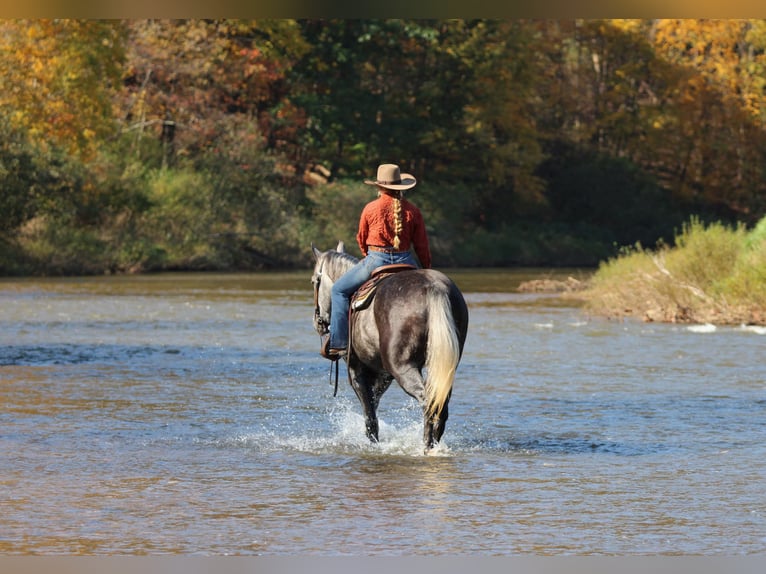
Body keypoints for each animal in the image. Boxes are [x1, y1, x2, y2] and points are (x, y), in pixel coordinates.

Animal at [311, 241, 469, 452]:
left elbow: (370, 415)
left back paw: (427, 446)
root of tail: (434, 288)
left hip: (402, 367)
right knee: (440, 403)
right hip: (442, 367)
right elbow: (374, 403)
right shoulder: (384, 374)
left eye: (314, 281)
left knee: (428, 401)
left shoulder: (357, 370)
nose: (317, 322)